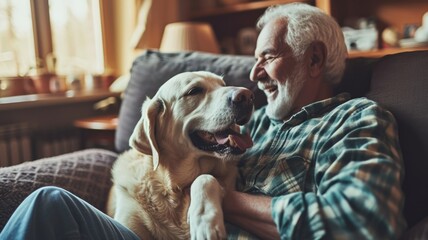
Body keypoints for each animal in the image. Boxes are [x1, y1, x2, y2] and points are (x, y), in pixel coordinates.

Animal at [108, 71, 254, 240]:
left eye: (223, 85)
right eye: (194, 91)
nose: (247, 95)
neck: (172, 189)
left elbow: (205, 177)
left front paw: (205, 222)